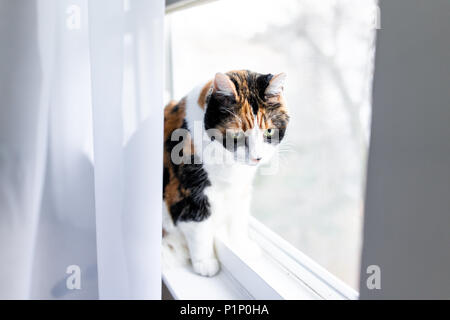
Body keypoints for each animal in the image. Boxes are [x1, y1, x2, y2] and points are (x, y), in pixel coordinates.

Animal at [162, 70, 288, 278]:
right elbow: (198, 225)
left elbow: (238, 219)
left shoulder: (240, 189)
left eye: (269, 131)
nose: (257, 158)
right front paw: (205, 262)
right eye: (236, 135)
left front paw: (241, 247)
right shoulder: (188, 192)